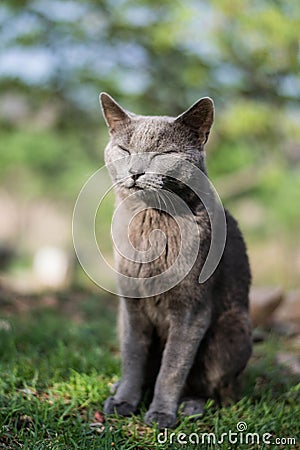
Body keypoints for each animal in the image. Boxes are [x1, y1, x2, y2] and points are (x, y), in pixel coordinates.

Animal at [99, 92, 252, 428]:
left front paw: (161, 414)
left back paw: (191, 405)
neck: (150, 224)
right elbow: (133, 356)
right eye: (125, 149)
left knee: (218, 390)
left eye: (162, 154)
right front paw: (124, 401)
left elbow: (173, 367)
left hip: (233, 329)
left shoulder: (191, 309)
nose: (135, 171)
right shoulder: (131, 306)